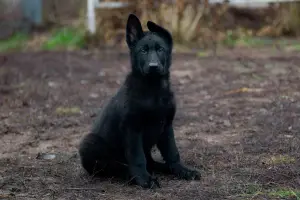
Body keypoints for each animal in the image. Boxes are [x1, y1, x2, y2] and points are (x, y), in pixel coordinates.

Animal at [79, 13, 202, 188]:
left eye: (160, 49)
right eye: (143, 51)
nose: (153, 66)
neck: (153, 89)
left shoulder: (167, 126)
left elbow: (172, 152)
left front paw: (182, 170)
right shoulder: (132, 129)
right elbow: (137, 158)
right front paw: (144, 179)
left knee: (151, 162)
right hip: (90, 142)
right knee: (111, 167)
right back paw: (130, 174)